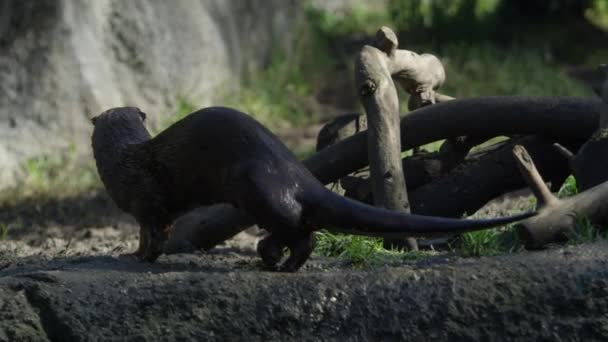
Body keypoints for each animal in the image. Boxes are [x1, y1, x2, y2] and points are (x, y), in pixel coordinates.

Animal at [90, 107, 532, 272]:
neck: (123, 161)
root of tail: (297, 171)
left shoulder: (147, 202)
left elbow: (152, 233)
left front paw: (138, 256)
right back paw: (272, 257)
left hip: (255, 189)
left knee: (301, 232)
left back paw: (278, 261)